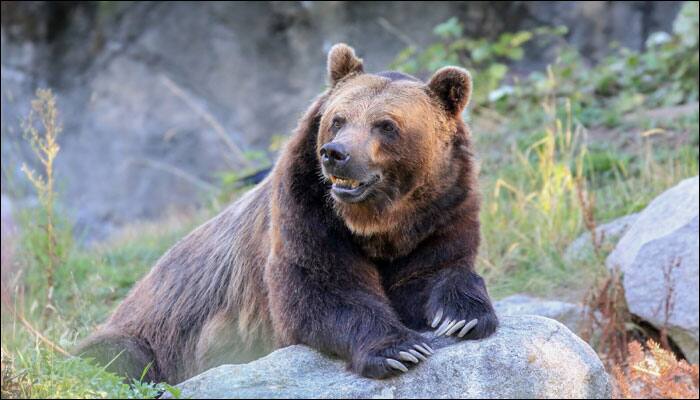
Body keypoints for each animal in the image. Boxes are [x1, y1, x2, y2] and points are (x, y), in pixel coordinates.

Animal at [78, 43, 498, 384]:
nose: (336, 153)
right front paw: (399, 349)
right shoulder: (306, 211)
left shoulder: (442, 208)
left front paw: (463, 316)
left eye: (386, 125)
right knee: (114, 356)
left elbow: (436, 269)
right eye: (338, 118)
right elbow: (322, 290)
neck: (377, 221)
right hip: (152, 332)